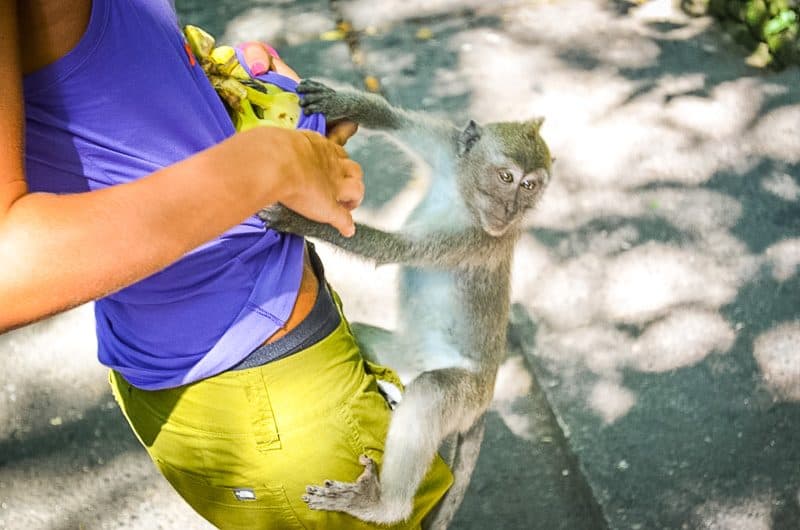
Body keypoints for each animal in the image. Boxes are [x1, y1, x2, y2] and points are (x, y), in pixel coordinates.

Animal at [260, 79, 552, 528]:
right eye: (508, 177)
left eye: (531, 186)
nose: (510, 211)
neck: (464, 198)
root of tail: (486, 401)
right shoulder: (448, 149)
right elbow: (395, 121)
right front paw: (346, 103)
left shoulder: (475, 241)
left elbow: (392, 248)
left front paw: (305, 220)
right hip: (403, 352)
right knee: (366, 339)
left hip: (465, 394)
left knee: (432, 392)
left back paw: (383, 504)